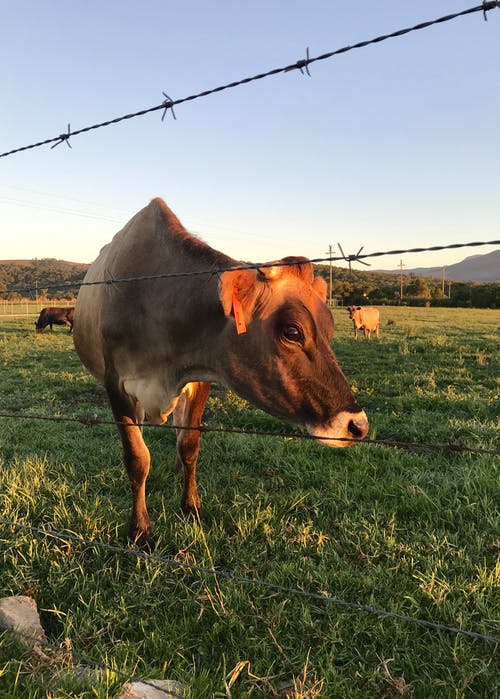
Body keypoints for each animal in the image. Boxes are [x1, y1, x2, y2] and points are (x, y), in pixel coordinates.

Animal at [75, 197, 372, 548]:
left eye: (330, 329)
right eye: (292, 331)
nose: (358, 425)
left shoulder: (199, 377)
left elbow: (190, 445)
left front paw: (191, 507)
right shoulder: (116, 385)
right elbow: (137, 458)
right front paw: (140, 530)